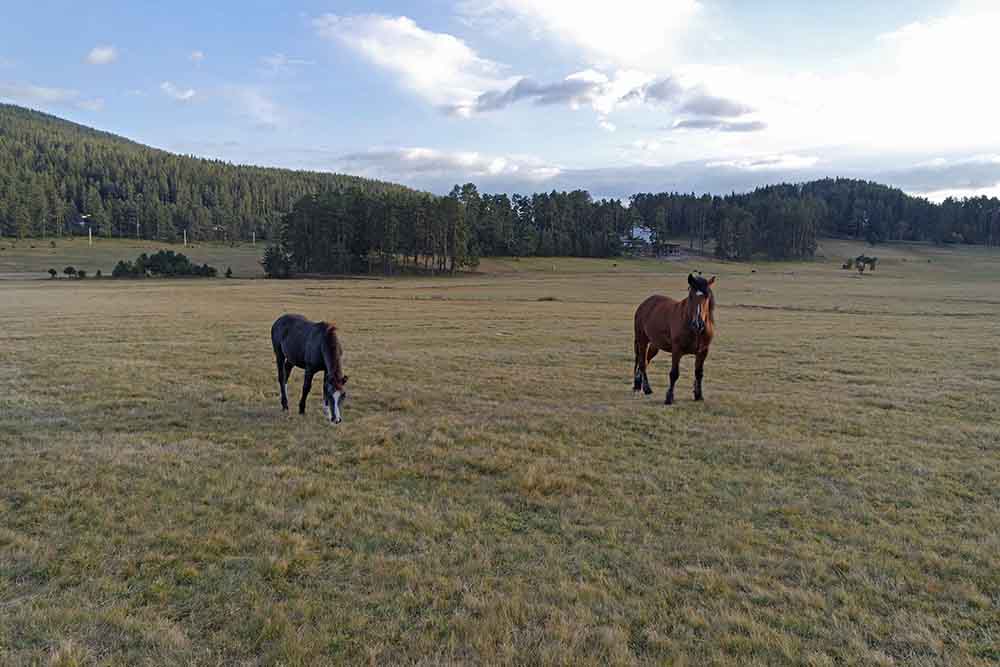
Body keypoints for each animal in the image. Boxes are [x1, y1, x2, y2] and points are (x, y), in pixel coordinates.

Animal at [632, 274, 720, 404]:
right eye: (691, 296)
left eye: (706, 296)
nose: (697, 323)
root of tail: (644, 304)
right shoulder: (677, 350)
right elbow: (674, 373)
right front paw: (669, 397)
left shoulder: (703, 351)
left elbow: (699, 373)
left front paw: (698, 395)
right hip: (642, 340)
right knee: (642, 362)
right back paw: (647, 389)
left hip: (654, 345)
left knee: (645, 361)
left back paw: (638, 385)